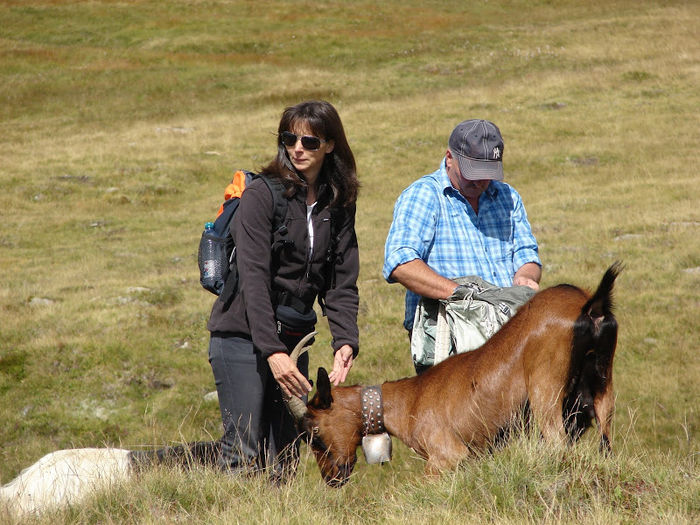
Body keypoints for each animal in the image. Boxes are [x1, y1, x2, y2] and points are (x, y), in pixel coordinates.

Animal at [296, 264, 616, 486]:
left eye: (314, 432)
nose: (331, 478)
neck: (410, 399)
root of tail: (590, 307)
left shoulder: (446, 456)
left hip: (545, 393)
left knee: (557, 442)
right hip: (602, 386)